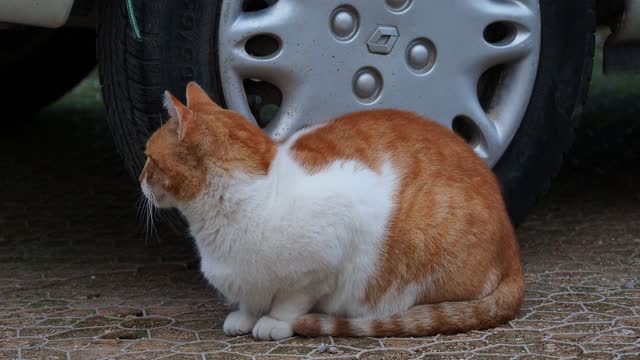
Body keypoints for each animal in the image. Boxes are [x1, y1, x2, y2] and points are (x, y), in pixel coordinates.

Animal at [141, 81, 524, 340]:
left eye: (148, 158)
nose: (140, 179)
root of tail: (514, 254)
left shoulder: (333, 244)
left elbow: (292, 298)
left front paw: (276, 321)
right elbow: (251, 298)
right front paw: (246, 315)